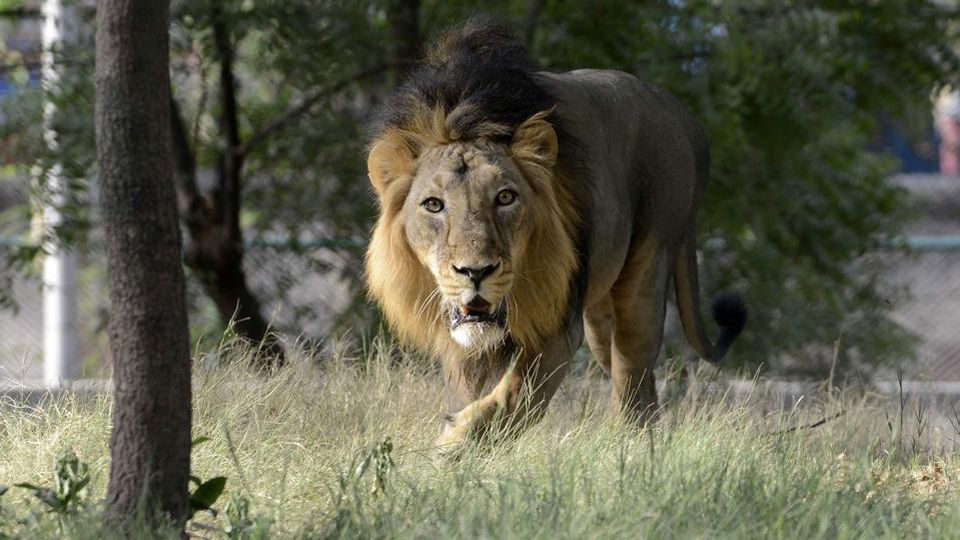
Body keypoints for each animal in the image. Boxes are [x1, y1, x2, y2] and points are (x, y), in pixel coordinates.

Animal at [365, 20, 746, 453]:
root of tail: (685, 119)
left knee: (632, 372)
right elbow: (473, 391)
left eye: (505, 197)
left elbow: (517, 395)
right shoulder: (460, 339)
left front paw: (456, 442)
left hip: (649, 265)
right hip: (599, 314)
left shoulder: (558, 324)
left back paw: (624, 447)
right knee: (635, 378)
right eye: (433, 205)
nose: (475, 272)